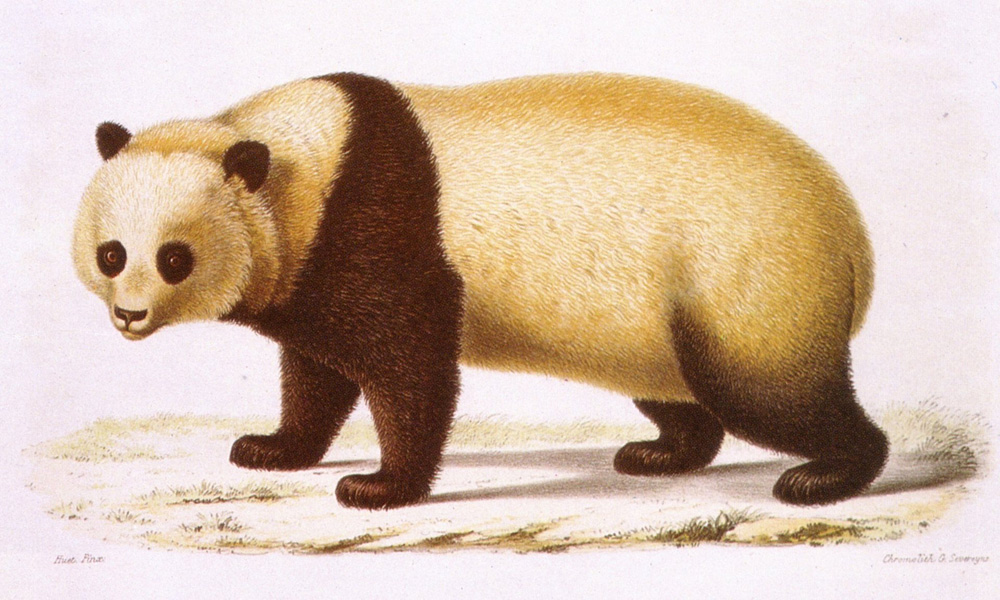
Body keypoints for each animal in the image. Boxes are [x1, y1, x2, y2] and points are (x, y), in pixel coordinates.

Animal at [73, 72, 888, 510]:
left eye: (174, 258)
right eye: (111, 252)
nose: (129, 315)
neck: (299, 163)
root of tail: (852, 240)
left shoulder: (372, 220)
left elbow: (409, 359)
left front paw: (377, 486)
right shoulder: (303, 266)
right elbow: (316, 369)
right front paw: (273, 447)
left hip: (739, 276)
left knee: (767, 392)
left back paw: (825, 473)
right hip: (645, 319)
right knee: (676, 386)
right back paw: (661, 451)